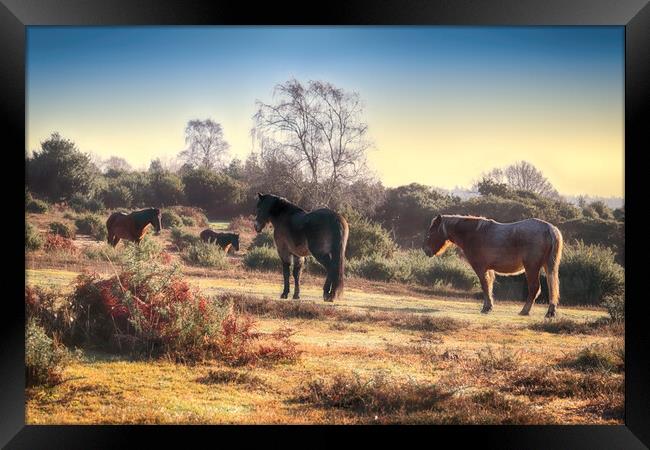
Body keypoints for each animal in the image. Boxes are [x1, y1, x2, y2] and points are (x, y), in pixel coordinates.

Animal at [422, 215, 560, 316]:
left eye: (431, 232)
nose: (425, 250)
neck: (474, 233)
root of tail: (550, 229)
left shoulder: (480, 268)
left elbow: (485, 286)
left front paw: (486, 308)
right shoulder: (488, 269)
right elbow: (489, 286)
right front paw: (488, 306)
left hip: (531, 268)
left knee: (534, 288)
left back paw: (524, 311)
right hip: (548, 266)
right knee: (552, 286)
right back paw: (550, 312)